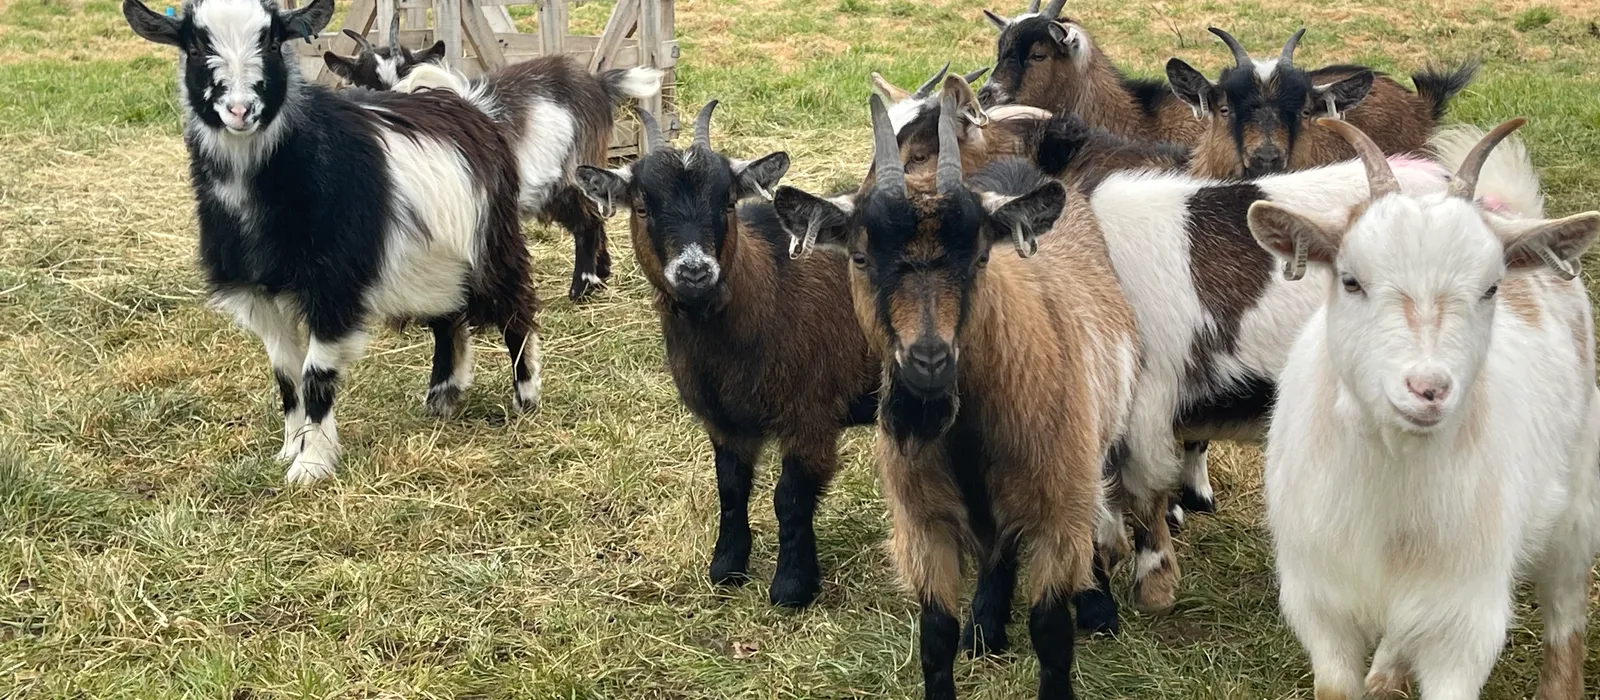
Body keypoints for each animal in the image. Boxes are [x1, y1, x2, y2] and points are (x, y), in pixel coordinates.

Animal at [124, 0, 538, 485]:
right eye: (193, 47)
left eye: (272, 42)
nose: (240, 110)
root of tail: (456, 101)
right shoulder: (260, 295)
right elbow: (286, 376)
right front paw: (289, 449)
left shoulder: (334, 285)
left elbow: (316, 374)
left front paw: (311, 465)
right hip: (434, 260)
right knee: (449, 318)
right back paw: (441, 397)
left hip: (493, 241)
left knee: (516, 309)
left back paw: (526, 397)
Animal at [324, 16, 664, 301]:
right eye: (365, 81)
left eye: (404, 72)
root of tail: (596, 83)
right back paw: (601, 274)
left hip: (570, 171)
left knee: (589, 222)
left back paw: (580, 287)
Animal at [571, 102, 879, 609]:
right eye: (643, 206)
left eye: (727, 203)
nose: (695, 272)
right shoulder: (724, 420)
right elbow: (731, 489)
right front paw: (727, 568)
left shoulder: (811, 415)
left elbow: (790, 498)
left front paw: (792, 587)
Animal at [776, 84, 1140, 698]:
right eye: (860, 256)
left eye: (981, 255)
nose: (928, 361)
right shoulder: (924, 525)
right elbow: (936, 637)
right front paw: (971, 630)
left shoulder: (1057, 514)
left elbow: (1051, 631)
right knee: (999, 551)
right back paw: (987, 626)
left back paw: (1097, 605)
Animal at [1253, 118, 1600, 700]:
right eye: (1350, 280)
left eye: (1491, 288)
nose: (1428, 388)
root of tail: (1515, 216)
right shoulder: (1319, 602)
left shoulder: (1464, 618)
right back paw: (1386, 674)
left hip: (1575, 510)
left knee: (1565, 610)